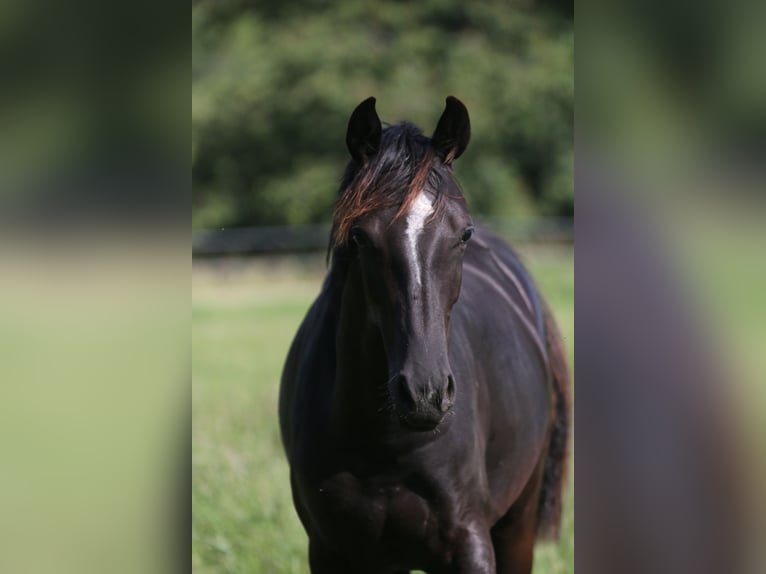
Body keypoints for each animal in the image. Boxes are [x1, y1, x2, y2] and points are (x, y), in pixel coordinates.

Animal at [280, 97, 568, 572]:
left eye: (463, 232)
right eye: (359, 237)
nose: (425, 394)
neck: (386, 447)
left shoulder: (469, 543)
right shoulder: (330, 550)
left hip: (518, 524)